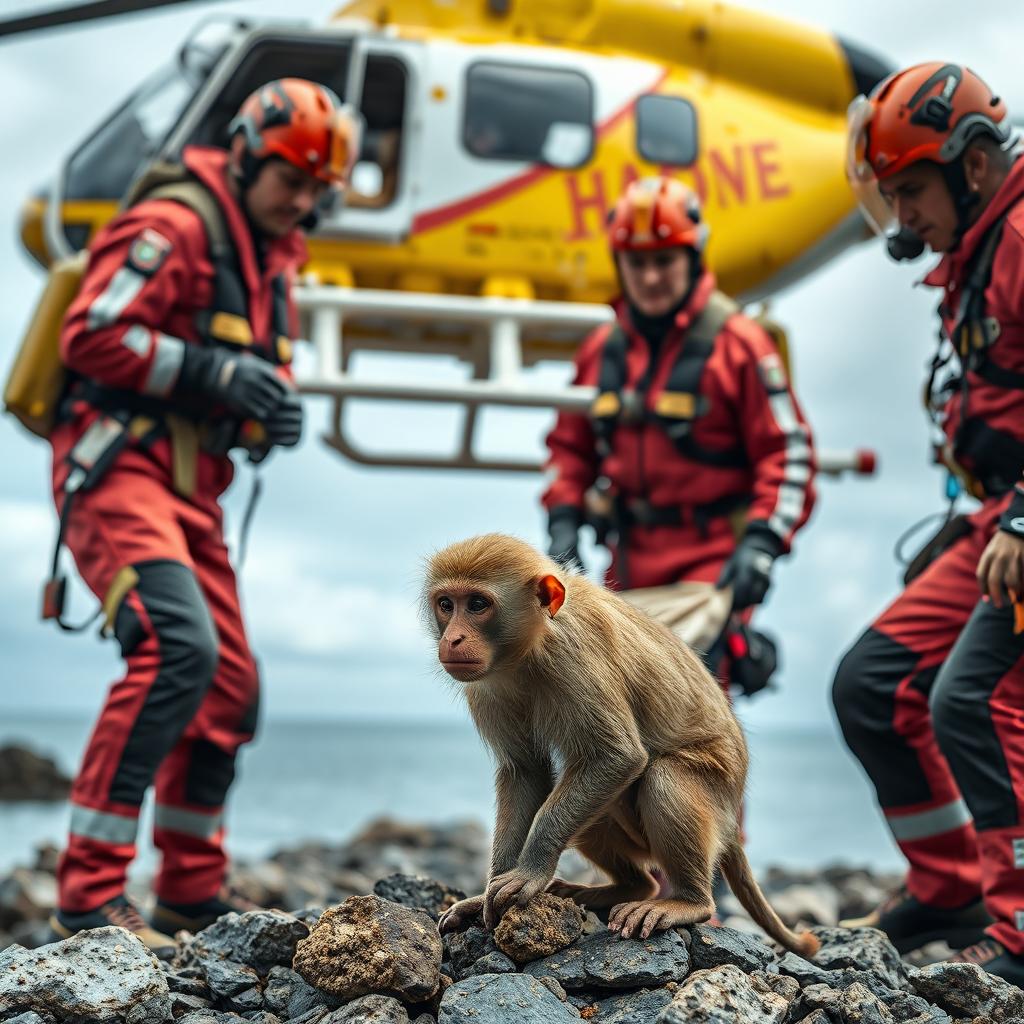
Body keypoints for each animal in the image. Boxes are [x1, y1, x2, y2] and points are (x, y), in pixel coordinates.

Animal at [421, 533, 819, 956]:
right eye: (446, 605)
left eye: (478, 605)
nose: (453, 638)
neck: (531, 646)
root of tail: (730, 820)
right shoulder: (487, 686)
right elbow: (525, 771)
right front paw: (487, 893)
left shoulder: (574, 656)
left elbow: (618, 757)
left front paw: (530, 872)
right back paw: (628, 887)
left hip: (714, 797)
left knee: (664, 776)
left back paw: (688, 901)